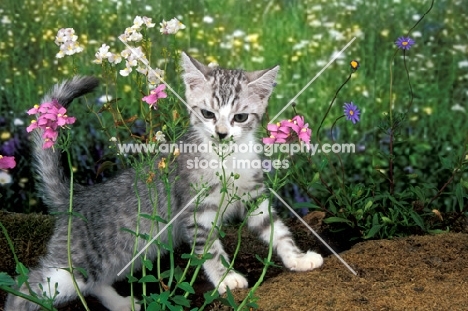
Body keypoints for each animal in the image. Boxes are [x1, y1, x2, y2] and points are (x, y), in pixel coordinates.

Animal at [5, 52, 324, 310]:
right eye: (207, 114)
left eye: (240, 117)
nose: (221, 134)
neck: (227, 158)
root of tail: (76, 197)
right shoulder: (197, 211)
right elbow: (208, 249)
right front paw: (226, 278)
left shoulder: (255, 196)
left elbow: (277, 231)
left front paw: (297, 258)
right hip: (75, 264)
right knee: (27, 289)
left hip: (125, 253)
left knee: (96, 282)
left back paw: (121, 304)